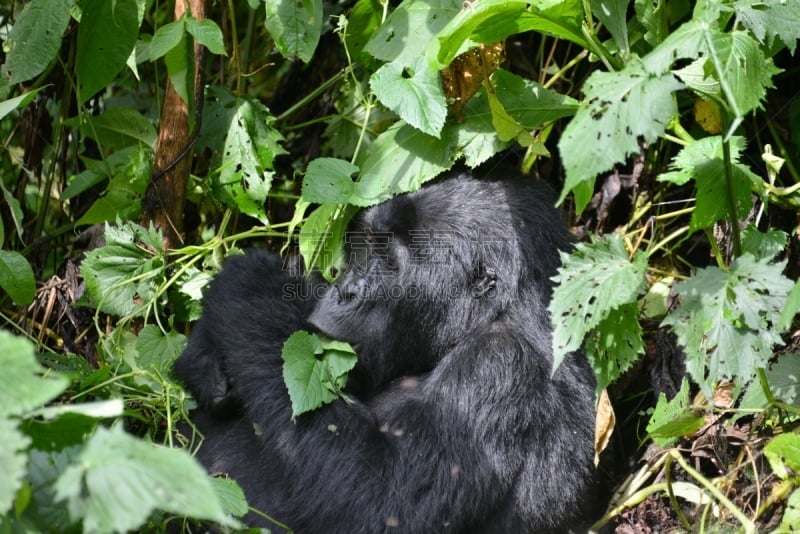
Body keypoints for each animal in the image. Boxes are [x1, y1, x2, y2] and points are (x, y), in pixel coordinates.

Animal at [177, 174, 600, 532]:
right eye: (366, 246)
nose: (345, 290)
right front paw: (204, 354)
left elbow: (378, 504)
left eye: (389, 262)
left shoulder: (498, 366)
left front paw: (248, 285)